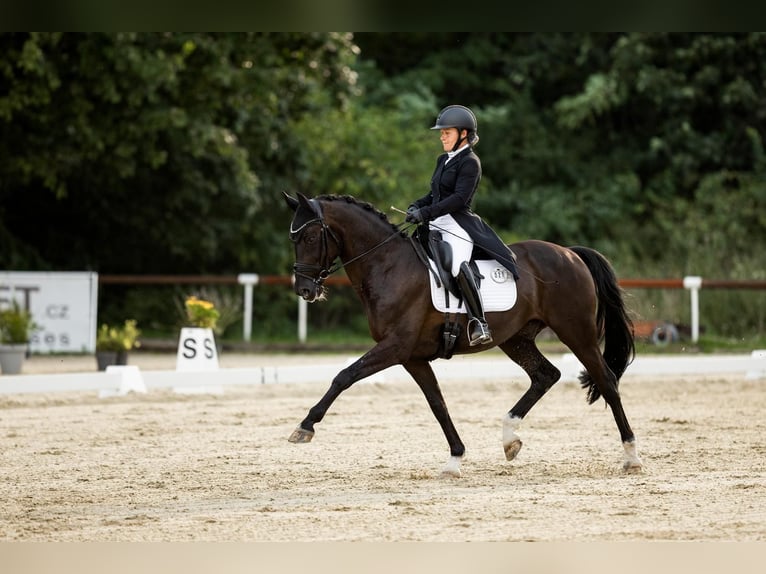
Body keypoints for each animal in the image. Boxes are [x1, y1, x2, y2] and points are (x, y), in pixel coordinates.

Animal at [283, 192, 643, 477]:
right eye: (293, 240)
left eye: (311, 238)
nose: (304, 290)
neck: (388, 265)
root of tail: (570, 253)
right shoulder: (412, 357)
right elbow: (437, 403)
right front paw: (455, 459)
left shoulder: (395, 347)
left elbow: (344, 376)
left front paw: (304, 427)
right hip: (516, 338)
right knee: (546, 375)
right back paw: (510, 439)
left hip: (576, 332)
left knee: (607, 381)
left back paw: (631, 456)